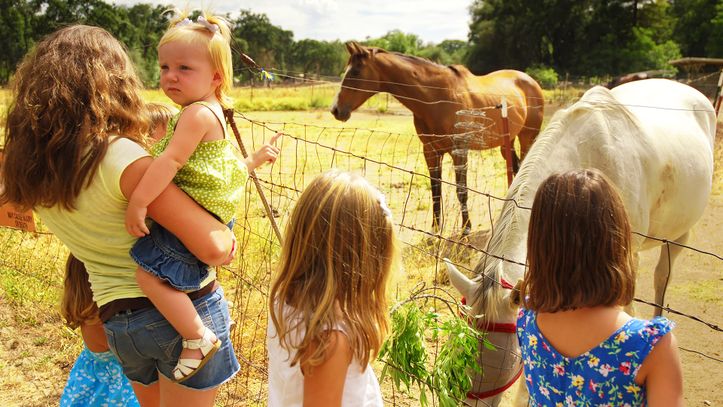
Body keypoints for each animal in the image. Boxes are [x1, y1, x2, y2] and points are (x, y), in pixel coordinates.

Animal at [332, 41, 544, 234]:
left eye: (355, 72)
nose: (336, 110)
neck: (437, 97)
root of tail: (529, 80)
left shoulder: (459, 151)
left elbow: (461, 190)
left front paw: (466, 229)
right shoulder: (431, 151)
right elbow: (435, 190)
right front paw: (435, 229)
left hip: (527, 138)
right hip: (506, 143)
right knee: (516, 168)